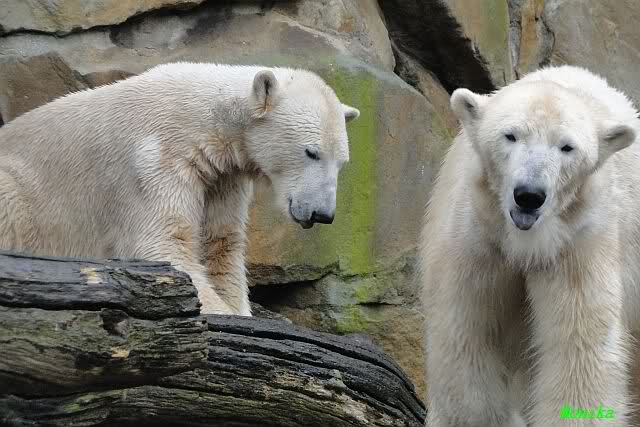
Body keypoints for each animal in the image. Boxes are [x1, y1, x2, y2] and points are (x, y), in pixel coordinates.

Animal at [0, 62, 360, 316]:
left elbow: (221, 245)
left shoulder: (221, 177)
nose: (322, 213)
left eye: (342, 162)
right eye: (311, 152)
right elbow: (160, 245)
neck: (203, 120)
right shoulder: (154, 160)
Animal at [420, 65, 640, 427]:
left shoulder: (577, 239)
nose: (529, 195)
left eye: (567, 147)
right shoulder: (478, 236)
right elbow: (467, 329)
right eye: (510, 135)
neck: (525, 241)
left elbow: (578, 345)